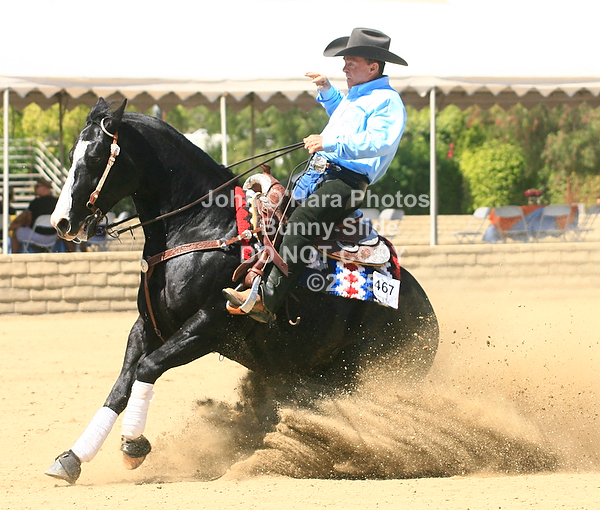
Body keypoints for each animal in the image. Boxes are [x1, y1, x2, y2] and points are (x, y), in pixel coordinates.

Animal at [45, 98, 439, 484]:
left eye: (97, 156)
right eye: (71, 154)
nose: (62, 222)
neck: (202, 226)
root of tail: (427, 315)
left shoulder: (209, 326)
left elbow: (148, 367)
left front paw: (133, 445)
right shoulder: (147, 326)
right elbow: (121, 384)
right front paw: (73, 457)